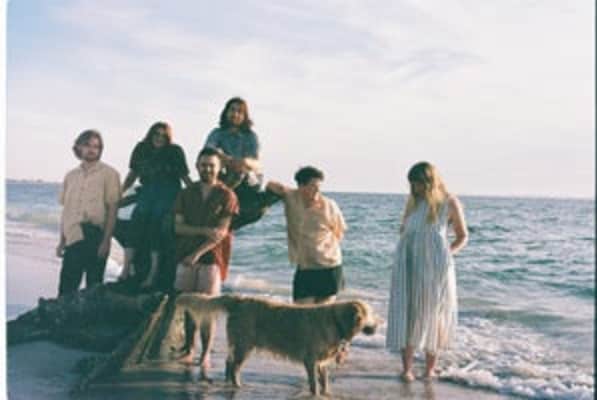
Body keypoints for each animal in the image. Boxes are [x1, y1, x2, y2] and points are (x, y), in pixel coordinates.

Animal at [176, 294, 378, 395]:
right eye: (369, 314)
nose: (377, 326)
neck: (336, 322)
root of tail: (239, 300)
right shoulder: (310, 359)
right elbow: (313, 383)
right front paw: (315, 394)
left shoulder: (320, 362)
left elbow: (324, 380)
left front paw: (326, 393)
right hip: (245, 344)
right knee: (234, 366)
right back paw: (238, 386)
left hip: (240, 342)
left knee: (228, 361)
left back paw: (228, 383)